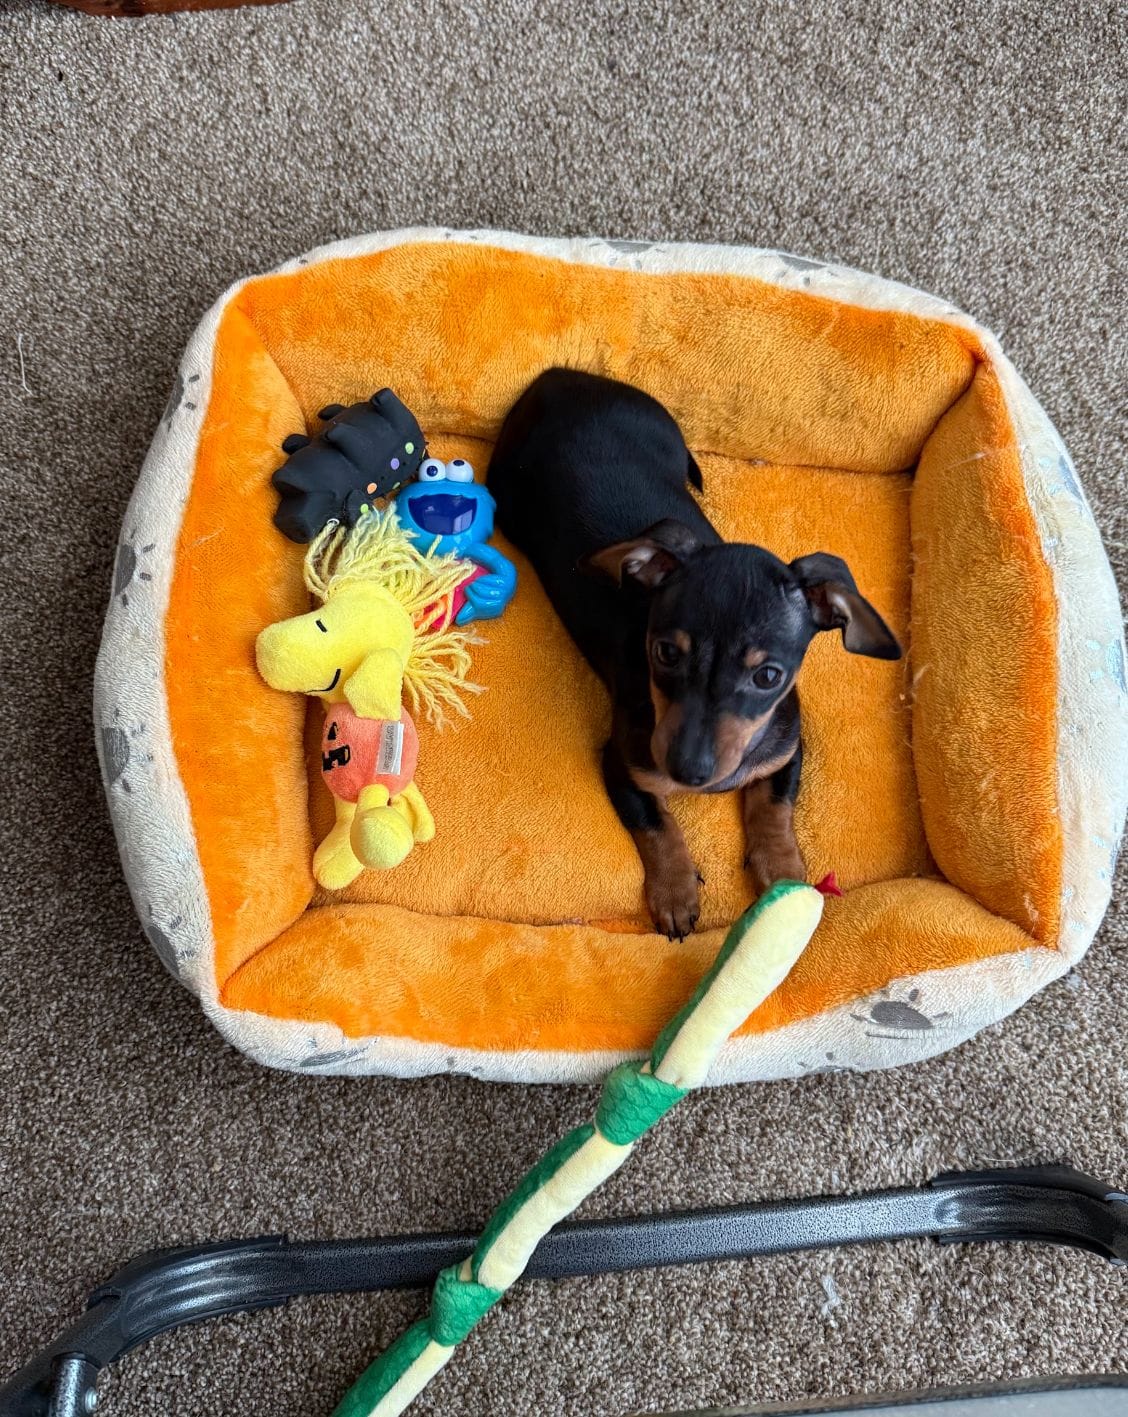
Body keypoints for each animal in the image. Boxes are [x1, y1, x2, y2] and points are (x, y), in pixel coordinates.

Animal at [487, 368, 901, 939]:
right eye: (664, 652)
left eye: (768, 676)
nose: (689, 771)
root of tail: (563, 376)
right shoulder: (622, 764)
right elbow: (655, 823)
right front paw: (675, 893)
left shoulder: (787, 750)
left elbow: (773, 806)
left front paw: (783, 872)